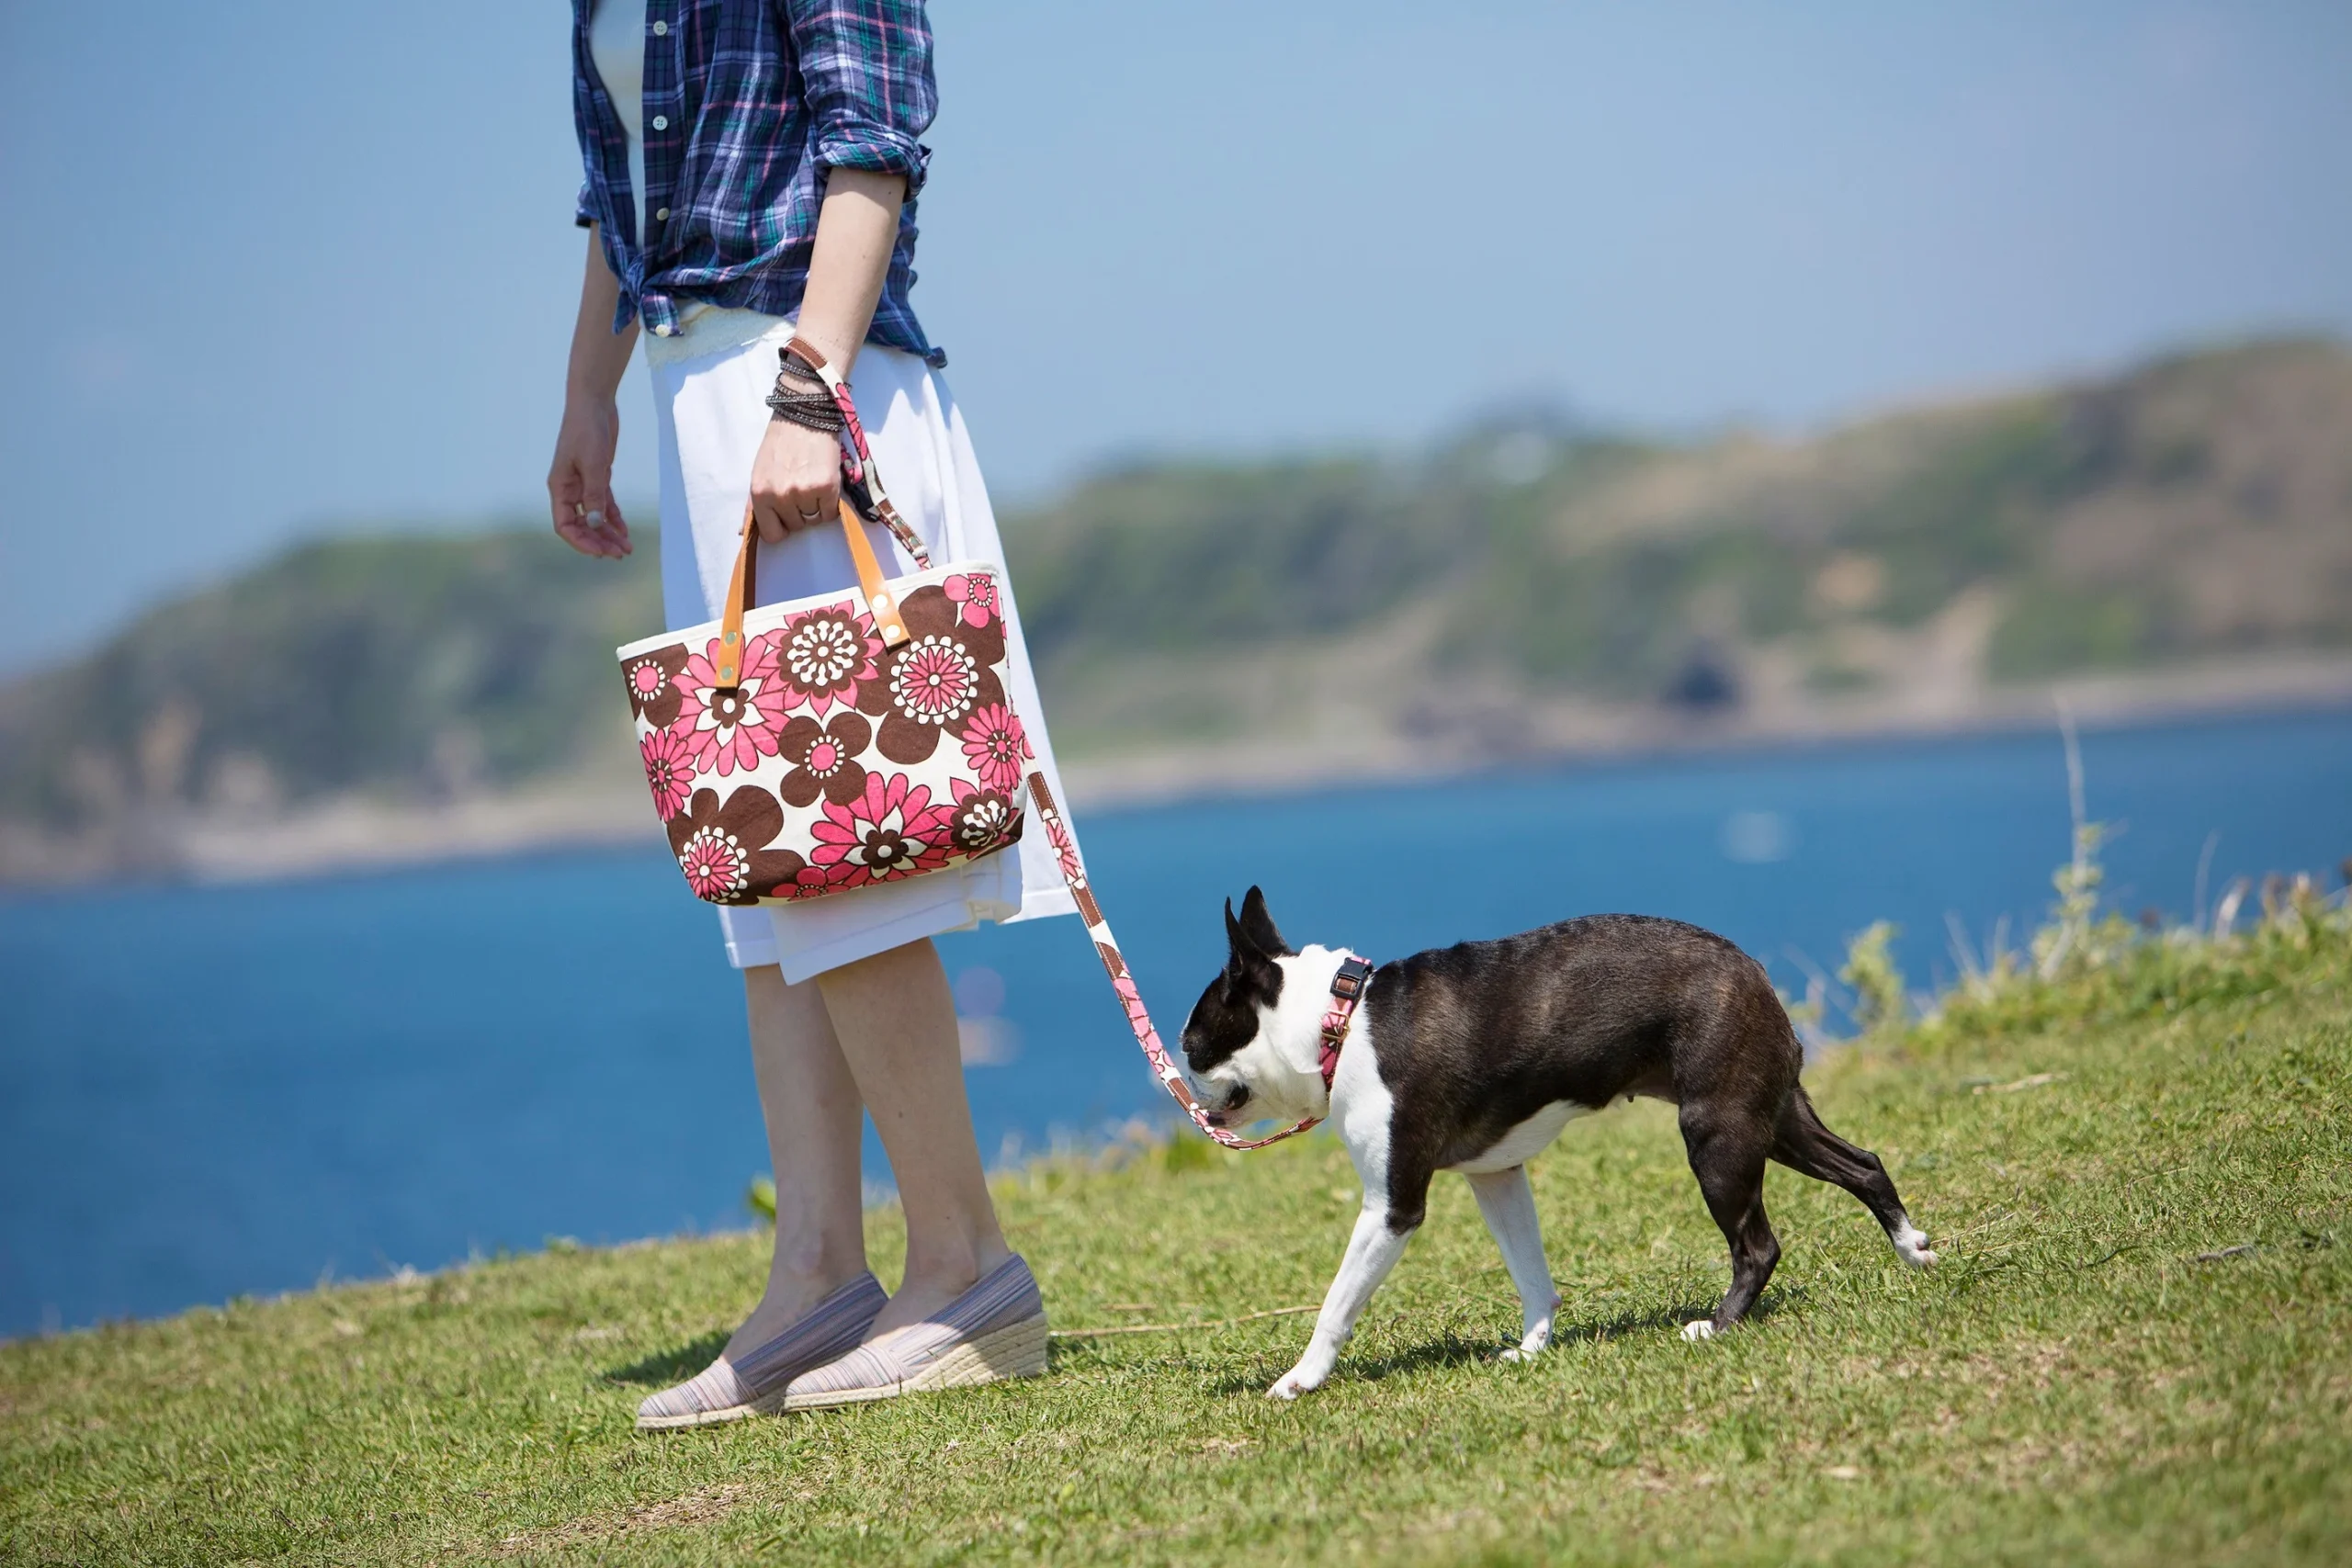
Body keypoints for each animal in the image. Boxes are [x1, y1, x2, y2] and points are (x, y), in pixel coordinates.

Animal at [1176, 888, 1928, 1401]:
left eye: (1193, 1044)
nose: (1181, 1076)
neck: (1340, 1022)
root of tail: (1750, 967)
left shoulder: (1390, 1206)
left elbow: (1337, 1301)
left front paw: (1301, 1378)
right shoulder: (1498, 1174)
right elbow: (1530, 1270)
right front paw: (1533, 1348)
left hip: (1717, 1132)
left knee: (1757, 1244)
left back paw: (1718, 1325)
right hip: (1769, 1116)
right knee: (1863, 1164)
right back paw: (1912, 1246)